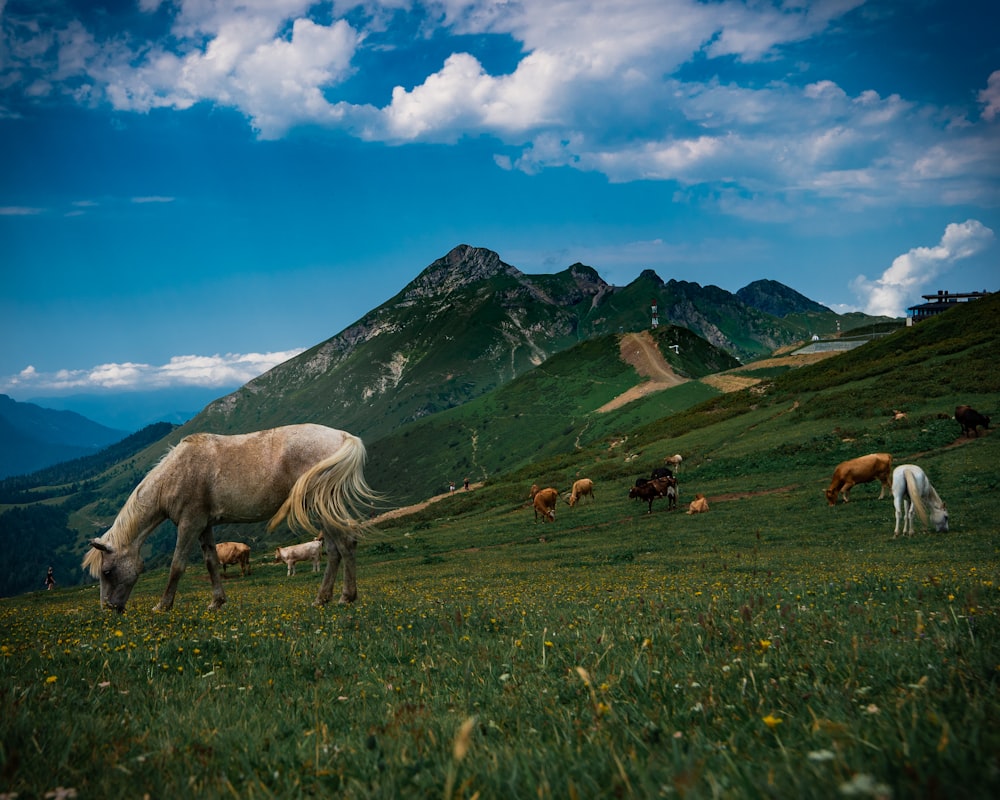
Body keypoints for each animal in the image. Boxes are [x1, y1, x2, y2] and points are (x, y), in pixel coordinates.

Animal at [81, 424, 378, 612]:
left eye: (107, 572)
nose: (108, 609)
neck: (176, 473)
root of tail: (343, 436)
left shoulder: (189, 524)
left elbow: (177, 565)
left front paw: (163, 605)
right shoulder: (204, 526)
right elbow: (211, 562)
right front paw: (217, 602)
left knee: (345, 544)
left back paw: (346, 597)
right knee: (334, 550)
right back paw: (323, 598)